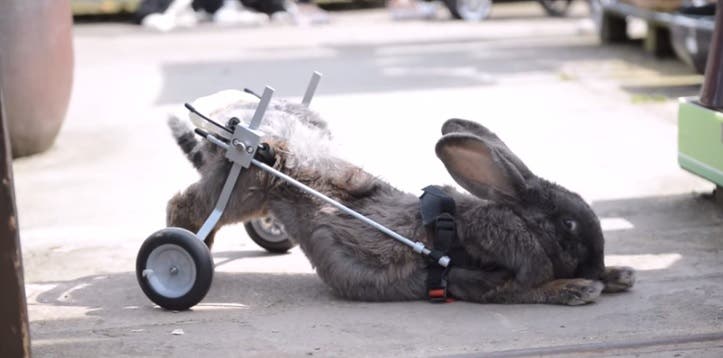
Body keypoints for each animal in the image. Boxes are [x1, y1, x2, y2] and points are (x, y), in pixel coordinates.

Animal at [167, 100, 636, 304]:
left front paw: (620, 276)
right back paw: (184, 248)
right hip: (245, 188)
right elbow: (525, 290)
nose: (596, 267)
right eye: (568, 226)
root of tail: (235, 133)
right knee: (185, 206)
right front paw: (580, 288)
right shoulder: (491, 280)